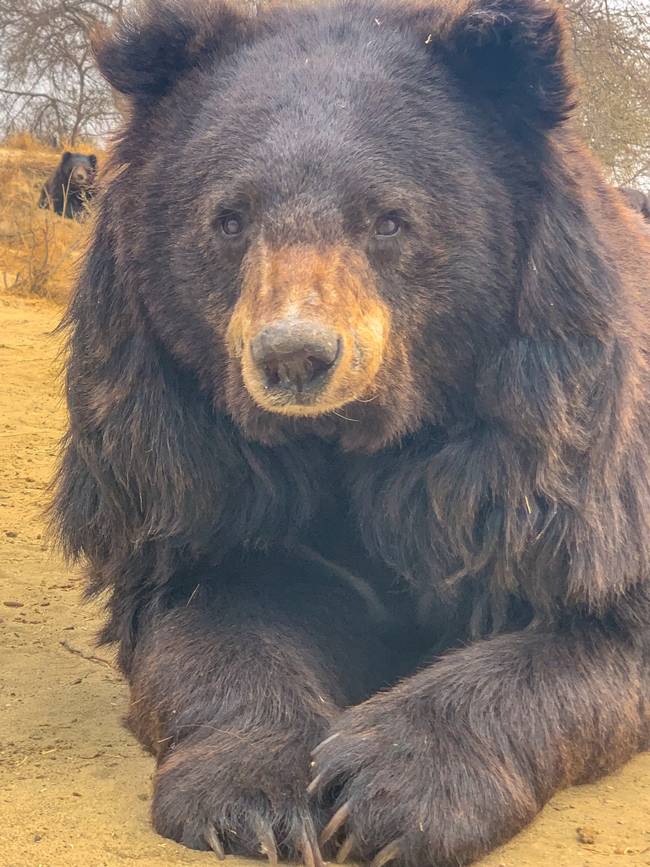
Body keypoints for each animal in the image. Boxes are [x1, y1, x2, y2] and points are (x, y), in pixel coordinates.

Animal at [52, 0, 650, 865]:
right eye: (229, 220)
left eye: (390, 221)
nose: (293, 356)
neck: (350, 440)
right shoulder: (182, 451)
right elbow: (214, 604)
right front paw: (257, 803)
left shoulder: (558, 456)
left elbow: (585, 623)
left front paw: (390, 794)